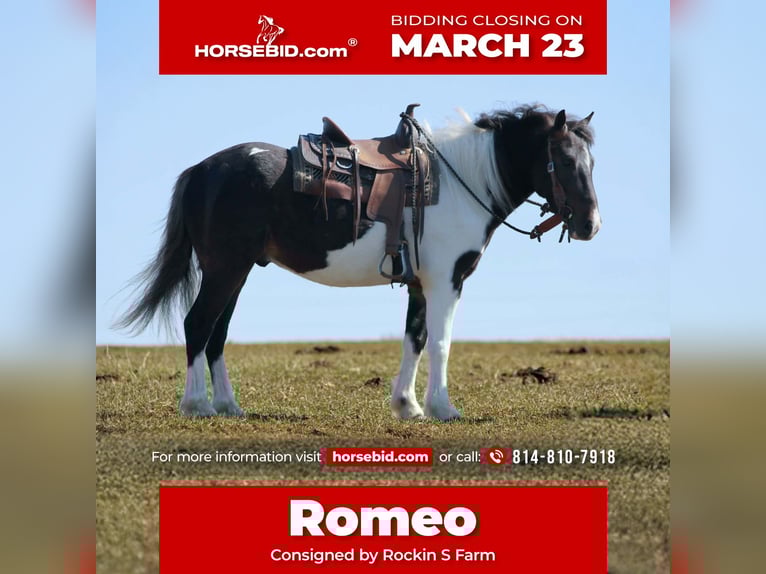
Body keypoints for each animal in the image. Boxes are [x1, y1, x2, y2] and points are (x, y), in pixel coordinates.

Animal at [116, 104, 600, 421]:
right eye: (563, 160)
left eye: (591, 162)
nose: (590, 225)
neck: (460, 182)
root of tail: (202, 169)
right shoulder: (447, 281)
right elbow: (441, 342)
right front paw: (443, 408)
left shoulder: (420, 283)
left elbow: (415, 339)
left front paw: (408, 406)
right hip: (225, 269)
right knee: (198, 324)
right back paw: (196, 405)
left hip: (236, 272)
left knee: (216, 333)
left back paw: (228, 406)